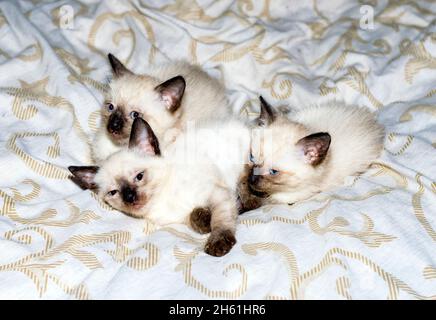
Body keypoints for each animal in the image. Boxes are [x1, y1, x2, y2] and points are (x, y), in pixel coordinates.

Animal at [70, 117, 252, 258]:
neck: (162, 202)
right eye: (113, 192)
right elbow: (195, 218)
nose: (130, 197)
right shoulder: (184, 215)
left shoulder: (217, 193)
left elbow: (220, 220)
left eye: (139, 176)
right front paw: (203, 220)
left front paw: (217, 242)